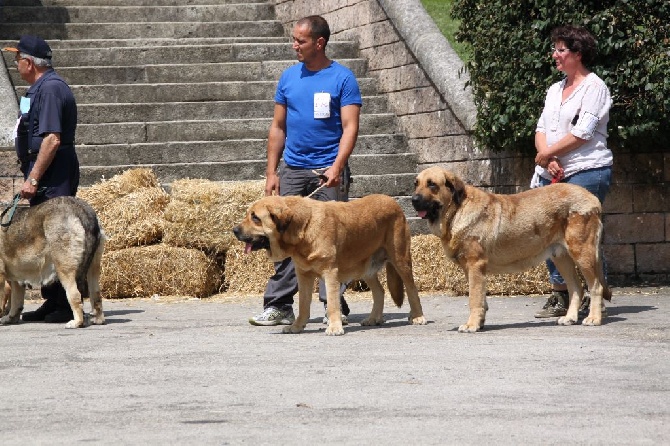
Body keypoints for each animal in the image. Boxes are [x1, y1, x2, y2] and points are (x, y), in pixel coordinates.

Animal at [0, 197, 105, 330]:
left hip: (64, 270)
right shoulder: (17, 279)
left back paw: (77, 322)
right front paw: (11, 318)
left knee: (75, 296)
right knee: (96, 295)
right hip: (93, 269)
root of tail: (82, 210)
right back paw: (98, 320)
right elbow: (16, 302)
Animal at [234, 193, 428, 336]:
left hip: (400, 260)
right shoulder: (303, 275)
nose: (234, 230)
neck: (303, 228)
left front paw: (334, 327)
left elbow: (333, 303)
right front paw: (297, 326)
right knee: (379, 291)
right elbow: (303, 304)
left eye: (255, 218)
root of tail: (393, 202)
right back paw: (374, 318)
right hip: (365, 268)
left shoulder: (330, 273)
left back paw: (418, 317)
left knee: (412, 289)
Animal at [412, 166, 612, 332]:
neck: (455, 211)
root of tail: (592, 198)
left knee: (595, 286)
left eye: (432, 184)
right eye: (416, 184)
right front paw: (480, 322)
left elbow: (474, 299)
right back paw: (569, 318)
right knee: (576, 287)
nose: (413, 200)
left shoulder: (475, 266)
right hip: (561, 257)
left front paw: (471, 325)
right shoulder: (472, 270)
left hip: (582, 253)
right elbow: (481, 300)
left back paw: (594, 318)